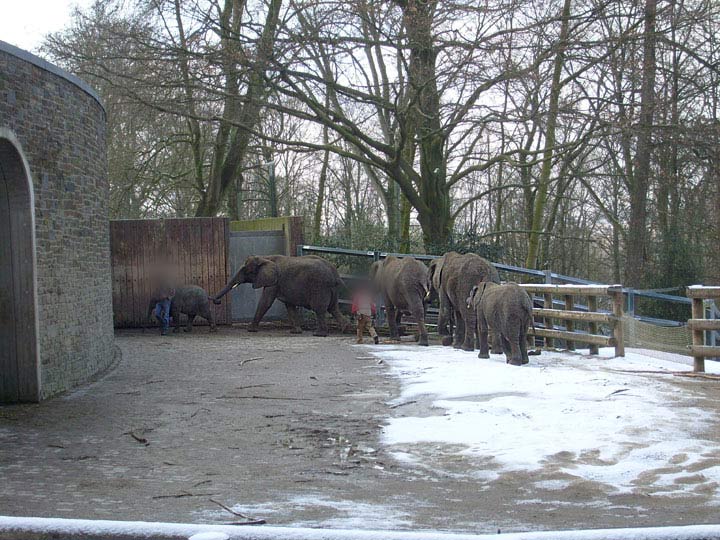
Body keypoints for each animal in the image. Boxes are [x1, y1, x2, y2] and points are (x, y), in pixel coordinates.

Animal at [212, 255, 350, 336]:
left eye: (248, 271)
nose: (215, 301)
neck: (265, 258)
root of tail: (335, 273)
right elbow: (289, 305)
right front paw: (295, 332)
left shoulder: (273, 282)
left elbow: (265, 302)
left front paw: (250, 329)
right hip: (330, 289)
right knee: (333, 308)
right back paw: (345, 329)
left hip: (320, 287)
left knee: (320, 309)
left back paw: (319, 334)